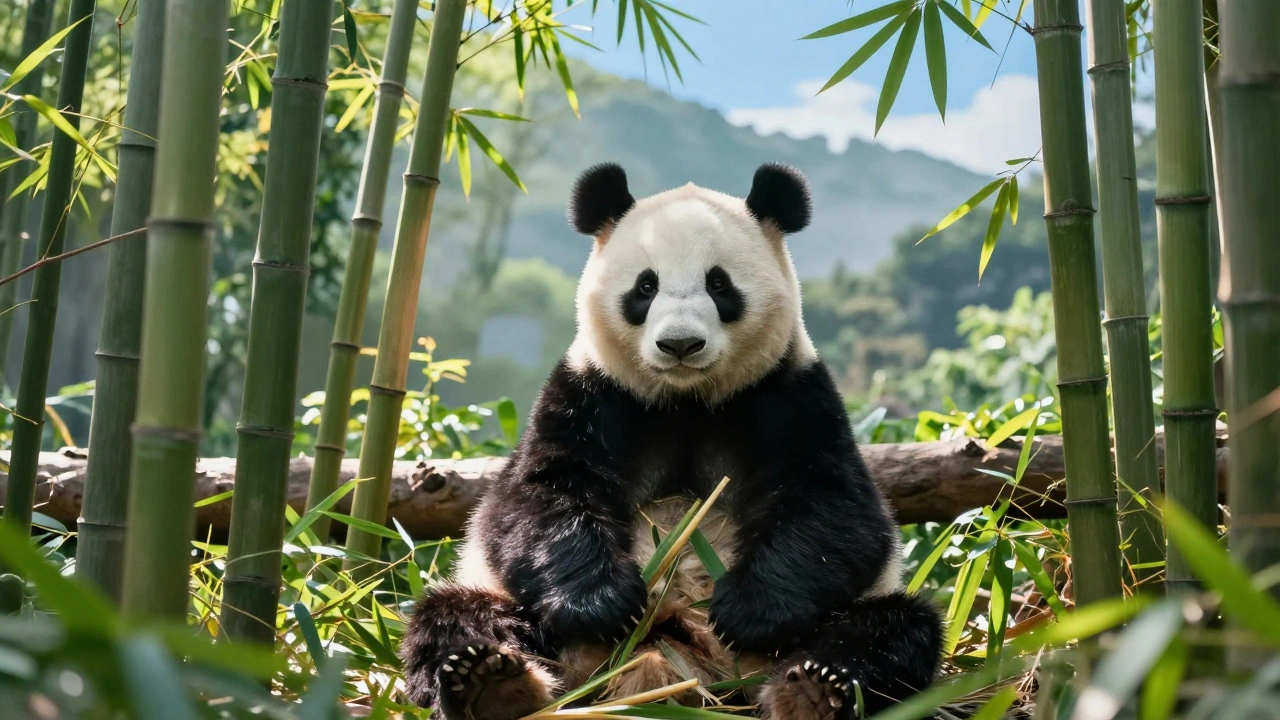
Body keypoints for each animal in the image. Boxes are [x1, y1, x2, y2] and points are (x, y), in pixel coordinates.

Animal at [401, 163, 944, 720]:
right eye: (646, 286)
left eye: (719, 283)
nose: (680, 343)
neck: (687, 402)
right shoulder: (588, 395)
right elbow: (538, 498)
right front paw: (601, 602)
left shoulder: (791, 395)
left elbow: (834, 511)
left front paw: (749, 610)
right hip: (521, 619)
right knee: (454, 617)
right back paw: (490, 681)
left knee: (889, 632)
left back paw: (813, 690)